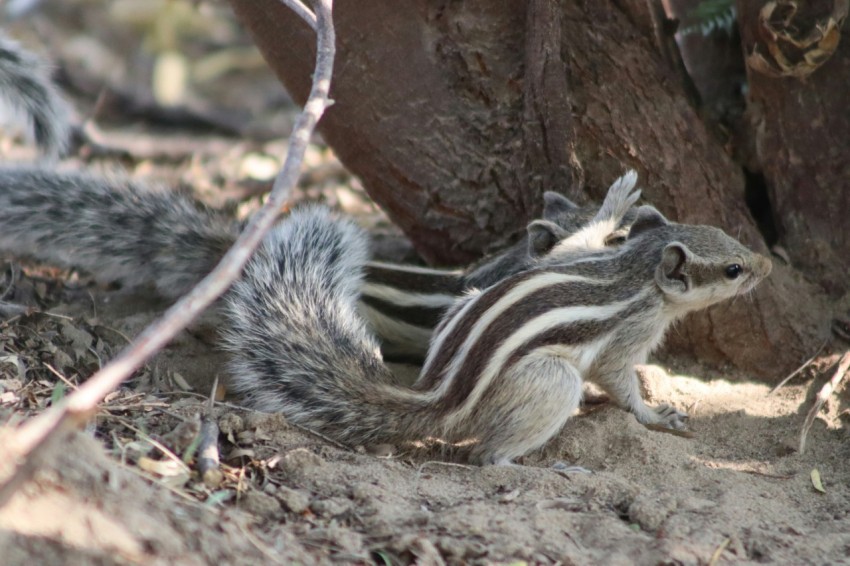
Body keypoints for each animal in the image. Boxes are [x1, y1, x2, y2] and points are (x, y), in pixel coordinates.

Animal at [224, 186, 768, 466]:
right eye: (732, 269)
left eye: (725, 235)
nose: (765, 265)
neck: (635, 268)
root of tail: (439, 398)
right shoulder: (625, 338)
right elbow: (621, 383)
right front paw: (654, 414)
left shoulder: (572, 256)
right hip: (550, 383)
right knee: (488, 456)